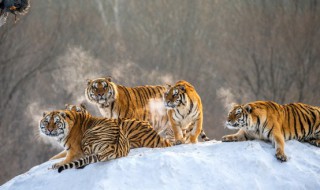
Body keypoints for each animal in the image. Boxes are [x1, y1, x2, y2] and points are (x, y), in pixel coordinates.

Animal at [40, 104, 172, 173]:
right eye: (46, 122)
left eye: (56, 122)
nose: (50, 130)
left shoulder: (74, 150)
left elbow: (65, 159)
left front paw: (55, 164)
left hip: (89, 136)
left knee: (87, 160)